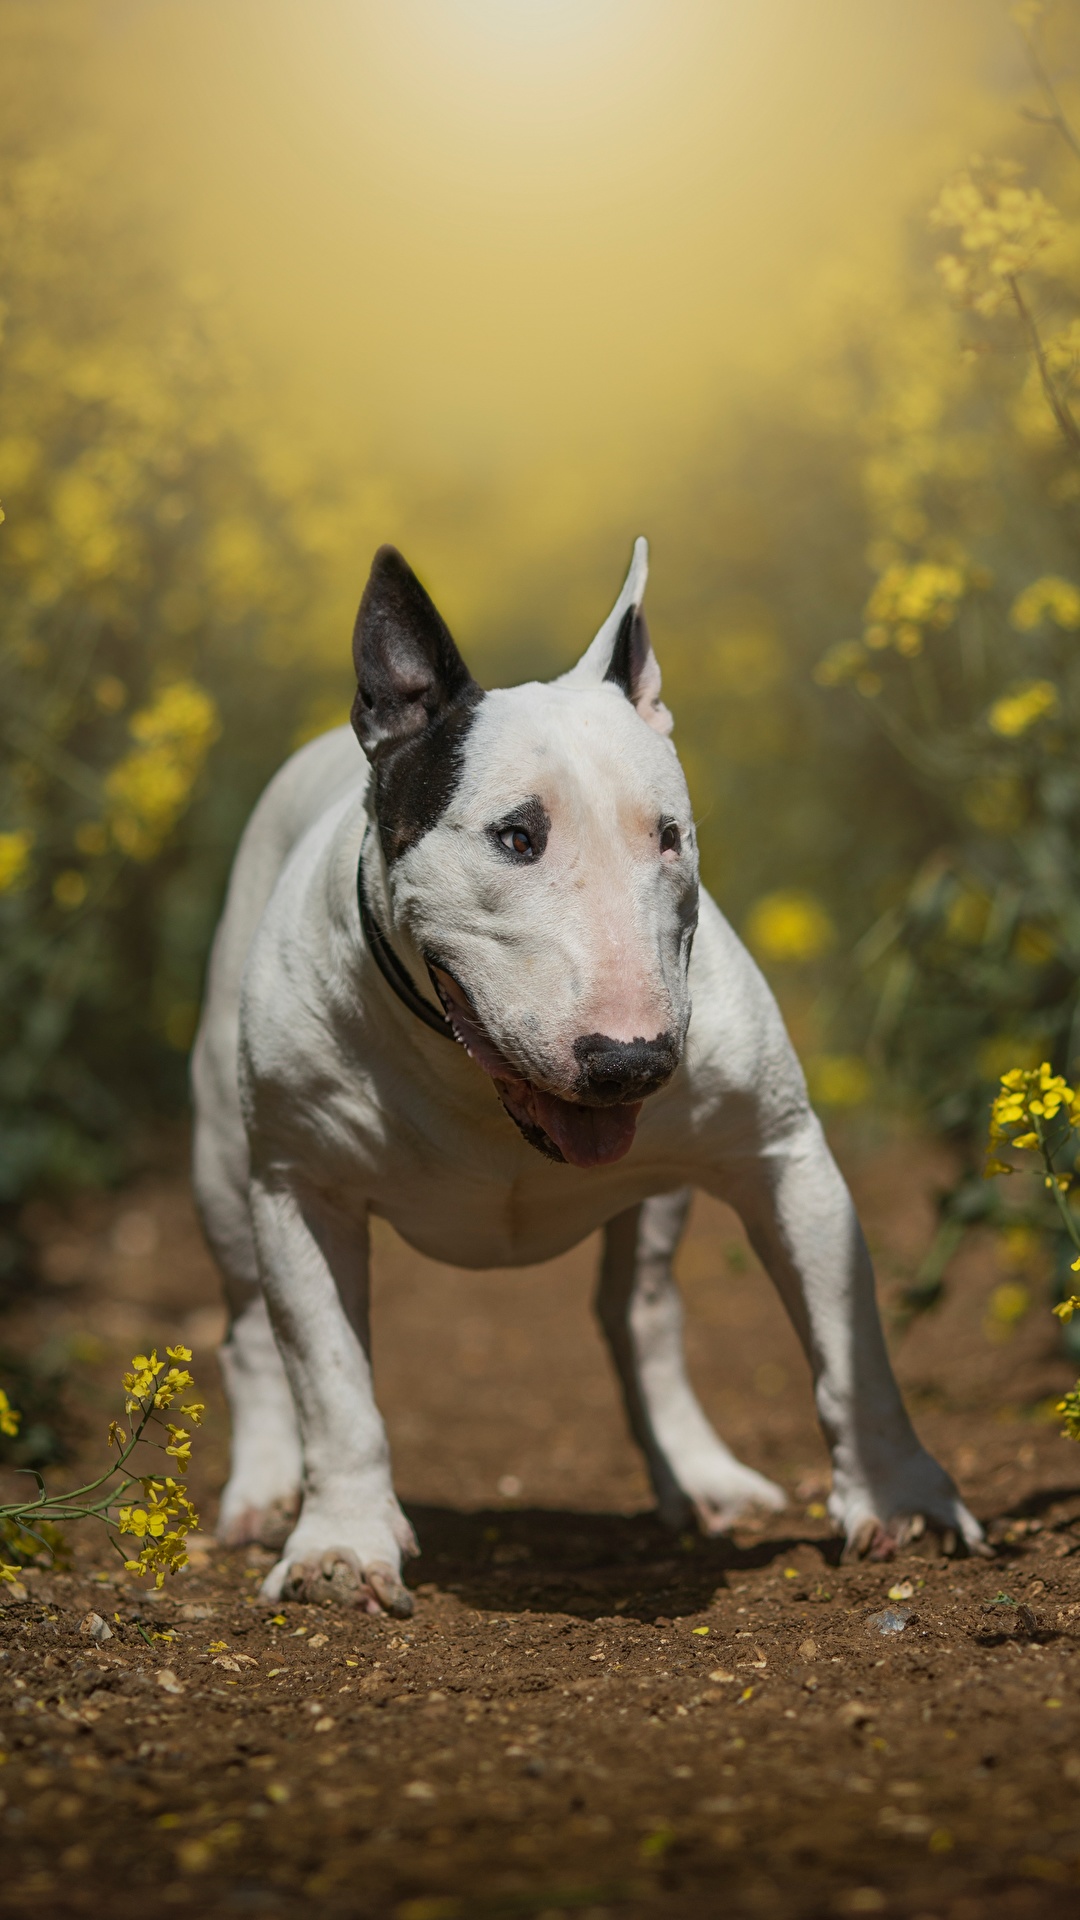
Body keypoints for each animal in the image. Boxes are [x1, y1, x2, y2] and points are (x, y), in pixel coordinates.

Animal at [189, 545, 980, 1620]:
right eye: (515, 836)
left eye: (670, 836)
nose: (634, 1062)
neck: (479, 1090)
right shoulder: (299, 1190)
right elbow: (331, 1381)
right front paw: (340, 1546)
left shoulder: (785, 1155)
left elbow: (850, 1348)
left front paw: (901, 1502)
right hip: (222, 1161)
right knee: (245, 1333)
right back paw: (265, 1491)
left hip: (659, 1195)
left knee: (641, 1314)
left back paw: (701, 1476)